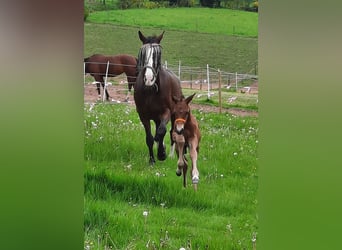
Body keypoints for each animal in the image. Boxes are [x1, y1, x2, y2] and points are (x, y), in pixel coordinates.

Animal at [134, 30, 183, 164]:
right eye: (143, 53)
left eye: (158, 54)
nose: (149, 78)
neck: (150, 90)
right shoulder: (143, 115)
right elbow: (150, 138)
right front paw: (152, 160)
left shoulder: (166, 112)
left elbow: (161, 132)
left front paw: (162, 153)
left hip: (173, 115)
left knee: (171, 132)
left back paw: (170, 154)